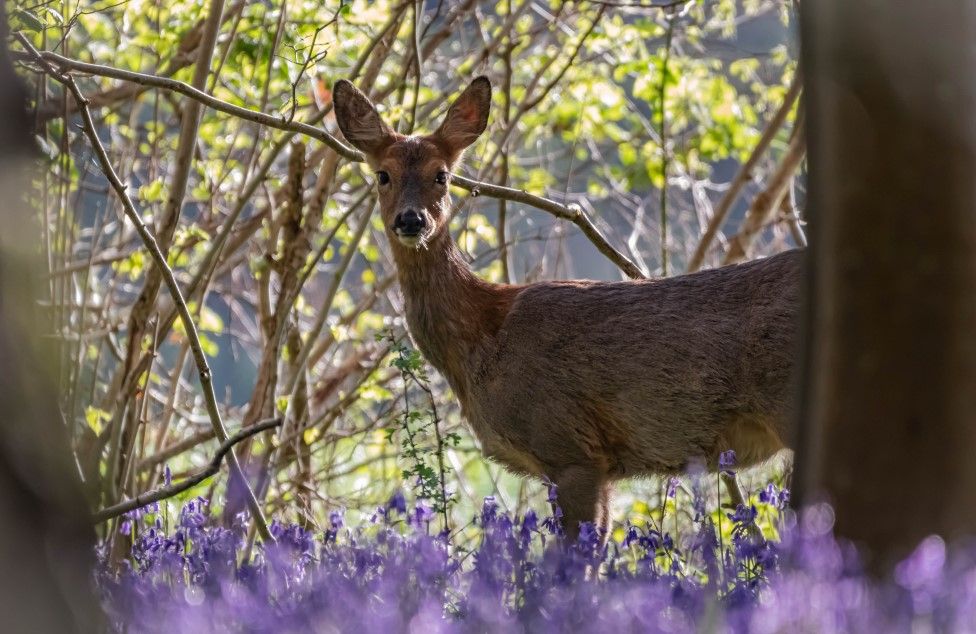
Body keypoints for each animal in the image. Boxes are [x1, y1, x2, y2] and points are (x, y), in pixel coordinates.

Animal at [332, 74, 796, 540]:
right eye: (383, 174)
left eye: (442, 175)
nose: (411, 221)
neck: (483, 339)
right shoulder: (594, 464)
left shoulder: (568, 446)